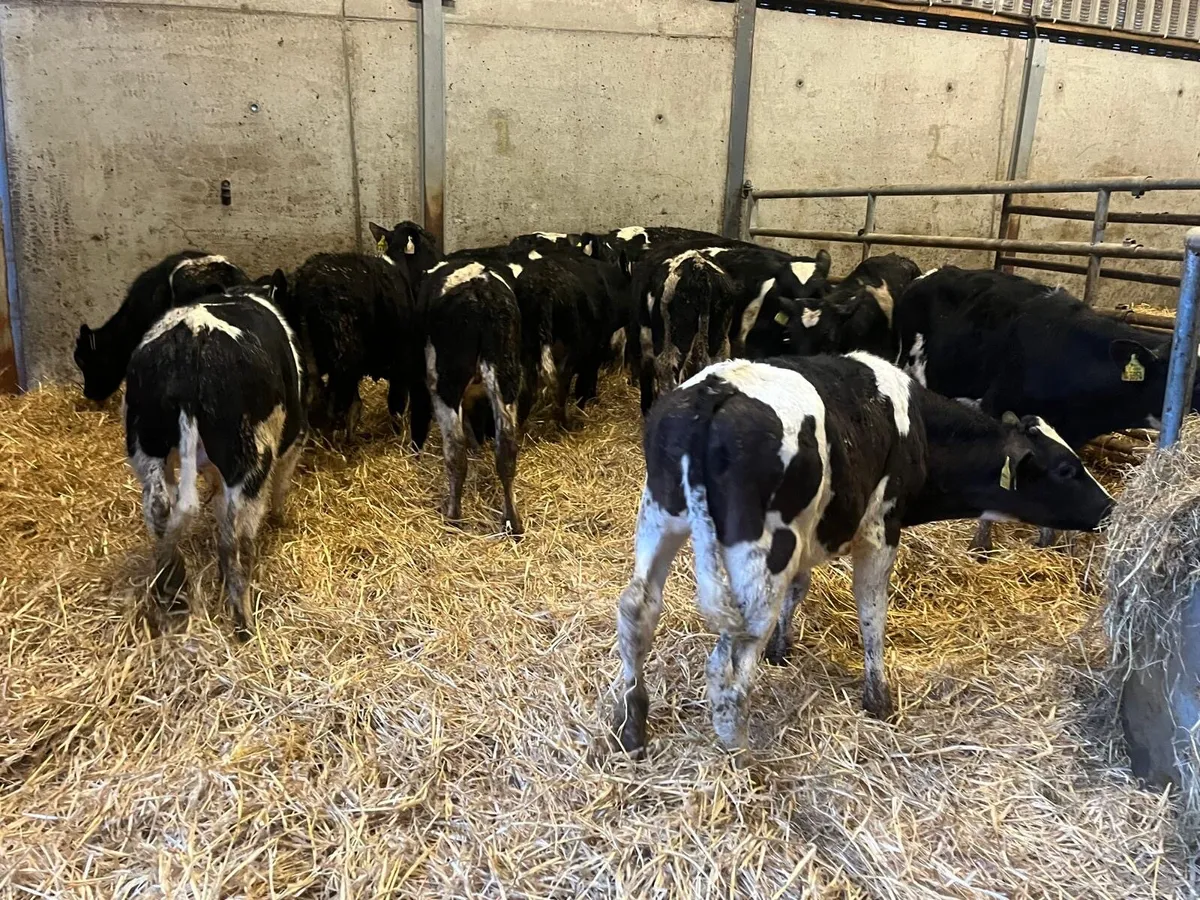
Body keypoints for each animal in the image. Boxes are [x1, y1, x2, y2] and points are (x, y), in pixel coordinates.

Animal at [123, 273, 308, 639]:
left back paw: (171, 592)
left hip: (146, 447)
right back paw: (243, 621)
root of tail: (191, 338)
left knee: (159, 510)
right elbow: (280, 486)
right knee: (236, 540)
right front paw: (283, 518)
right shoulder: (292, 439)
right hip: (250, 459)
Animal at [612, 354, 1113, 755]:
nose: (1111, 507)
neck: (921, 430)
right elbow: (872, 612)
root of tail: (716, 391)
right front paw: (878, 699)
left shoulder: (813, 532)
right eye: (1067, 469)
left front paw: (782, 650)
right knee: (728, 661)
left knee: (638, 612)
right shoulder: (879, 529)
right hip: (763, 550)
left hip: (659, 516)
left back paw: (631, 727)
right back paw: (741, 753)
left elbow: (801, 588)